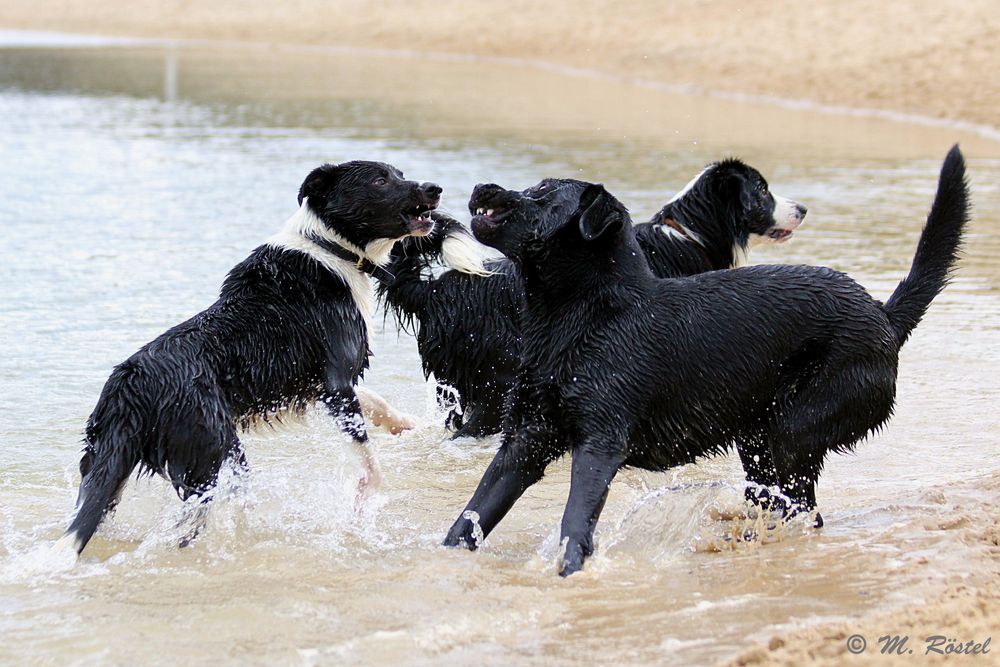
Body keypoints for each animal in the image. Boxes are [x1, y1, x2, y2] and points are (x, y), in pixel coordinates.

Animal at [57, 160, 442, 560]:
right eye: (380, 180)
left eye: (400, 174)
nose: (435, 189)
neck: (332, 246)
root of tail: (128, 388)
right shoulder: (336, 384)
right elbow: (369, 461)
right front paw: (362, 504)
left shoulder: (316, 384)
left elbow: (377, 402)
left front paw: (406, 424)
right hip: (211, 452)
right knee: (194, 520)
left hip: (110, 458)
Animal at [446, 149, 968, 576]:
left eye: (543, 192)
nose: (479, 186)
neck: (583, 318)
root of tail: (882, 314)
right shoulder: (525, 440)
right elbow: (473, 513)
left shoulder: (600, 443)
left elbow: (576, 520)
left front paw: (570, 572)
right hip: (758, 442)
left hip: (796, 429)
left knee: (805, 507)